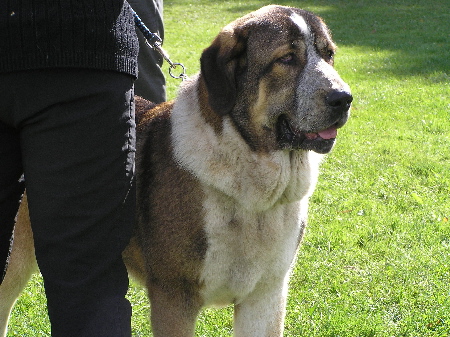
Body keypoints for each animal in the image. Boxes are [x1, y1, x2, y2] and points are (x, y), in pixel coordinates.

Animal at [0, 5, 352, 336]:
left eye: (329, 54)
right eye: (287, 58)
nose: (344, 98)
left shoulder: (265, 298)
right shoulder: (174, 299)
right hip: (15, 258)